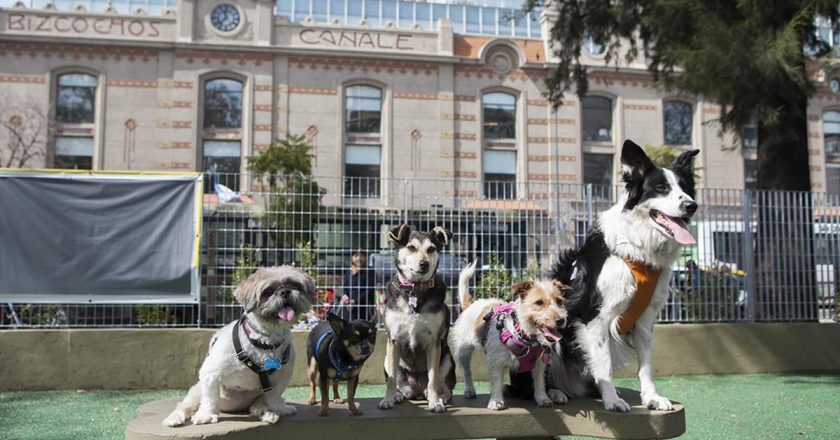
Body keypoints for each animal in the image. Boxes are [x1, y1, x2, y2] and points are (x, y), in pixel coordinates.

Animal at [163, 264, 316, 426]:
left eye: (295, 285)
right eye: (268, 291)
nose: (285, 291)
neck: (266, 341)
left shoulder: (282, 376)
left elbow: (274, 396)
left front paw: (279, 408)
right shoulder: (210, 373)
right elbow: (210, 398)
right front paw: (206, 415)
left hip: (259, 394)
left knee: (258, 404)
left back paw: (266, 412)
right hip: (196, 392)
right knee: (184, 406)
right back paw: (174, 418)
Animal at [378, 225, 456, 414]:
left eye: (431, 249)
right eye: (411, 247)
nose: (424, 264)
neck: (415, 289)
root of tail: (417, 390)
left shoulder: (434, 342)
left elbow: (433, 377)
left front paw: (435, 403)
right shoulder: (393, 340)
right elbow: (391, 379)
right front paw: (387, 399)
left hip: (447, 359)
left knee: (445, 387)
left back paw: (439, 396)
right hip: (387, 359)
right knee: (396, 380)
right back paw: (398, 395)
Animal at [548, 141, 700, 412]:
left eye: (685, 187)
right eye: (661, 188)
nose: (691, 206)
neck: (636, 247)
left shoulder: (645, 320)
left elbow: (646, 365)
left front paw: (651, 398)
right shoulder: (594, 317)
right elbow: (604, 364)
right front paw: (612, 401)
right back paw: (554, 393)